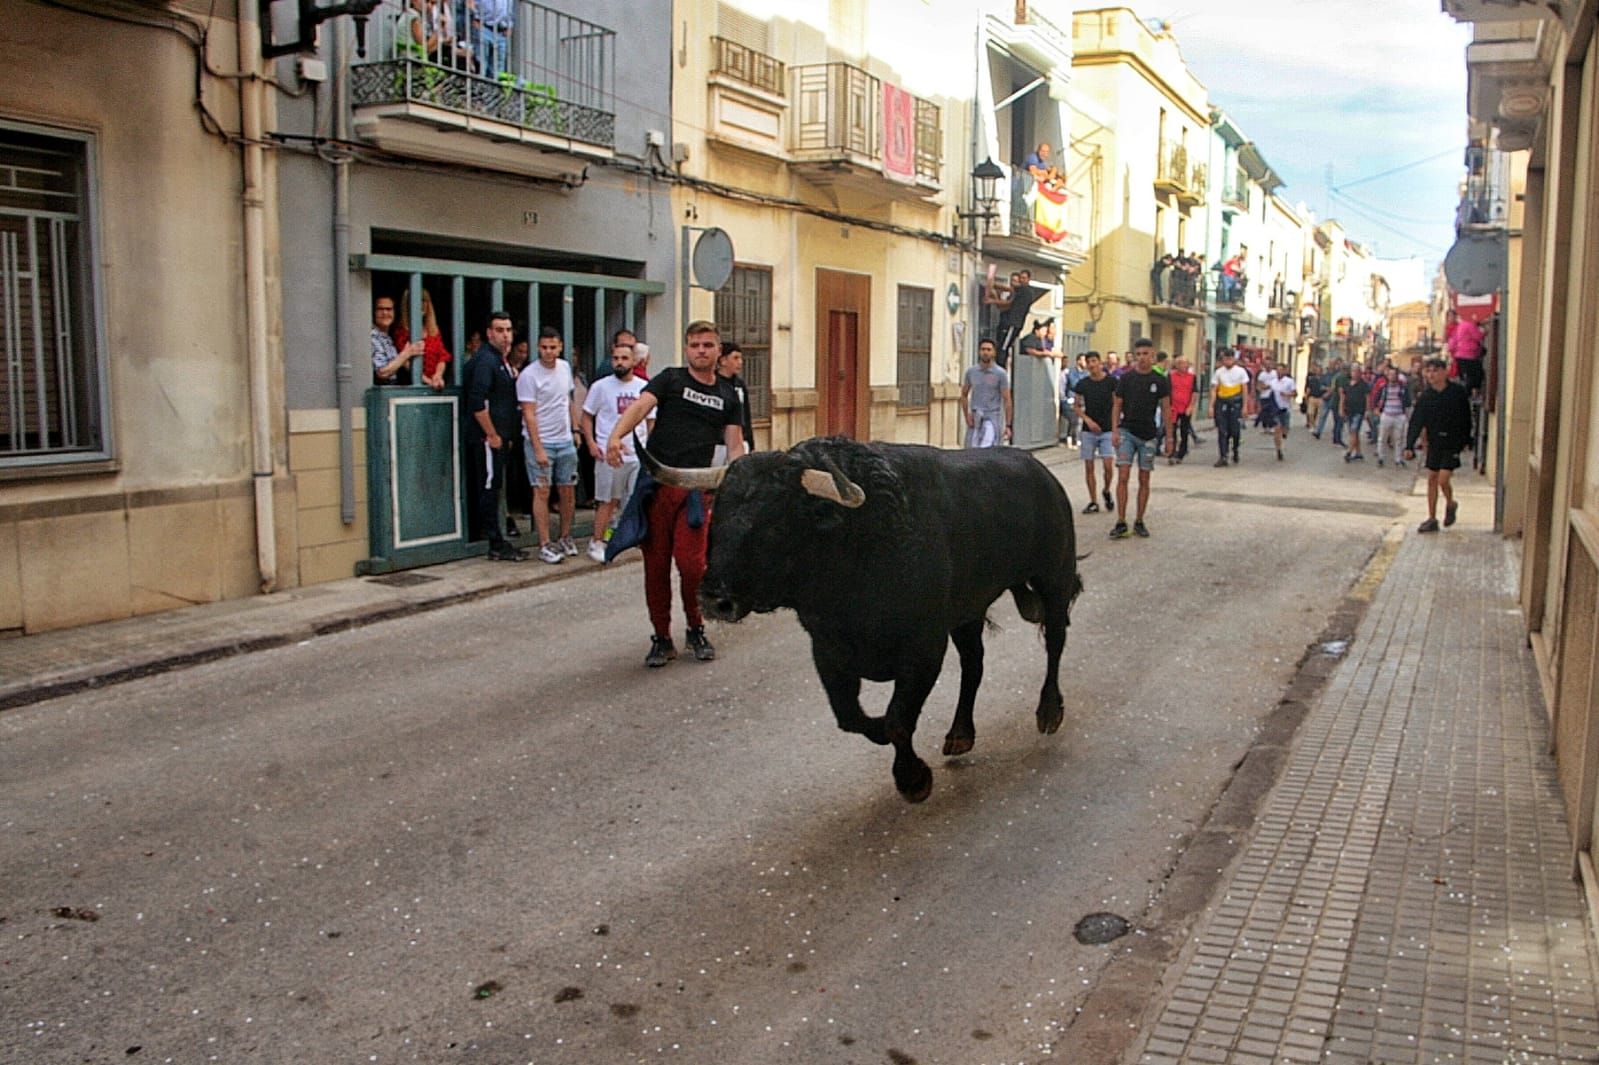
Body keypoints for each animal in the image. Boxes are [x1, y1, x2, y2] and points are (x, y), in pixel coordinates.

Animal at [642, 431, 1080, 796]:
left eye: (775, 522)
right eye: (718, 515)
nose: (715, 598)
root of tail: (1039, 471)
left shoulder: (923, 649)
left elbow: (898, 718)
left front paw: (913, 779)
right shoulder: (828, 651)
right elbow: (853, 717)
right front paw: (887, 740)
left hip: (1054, 579)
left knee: (1055, 642)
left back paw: (1048, 710)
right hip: (968, 610)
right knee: (974, 663)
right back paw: (959, 734)